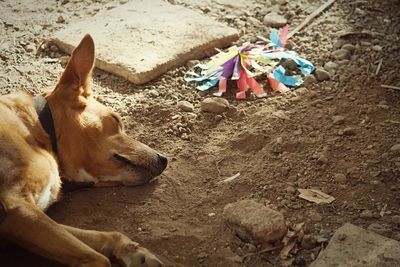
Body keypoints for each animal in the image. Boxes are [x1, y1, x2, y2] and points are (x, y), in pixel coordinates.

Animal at [0, 34, 167, 266]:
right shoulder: (17, 204)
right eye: (116, 120)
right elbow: (98, 258)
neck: (39, 128)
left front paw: (136, 253)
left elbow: (106, 236)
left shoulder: (15, 224)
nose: (164, 159)